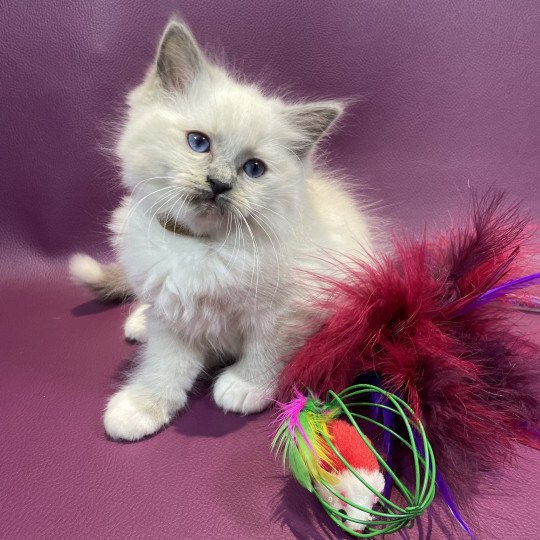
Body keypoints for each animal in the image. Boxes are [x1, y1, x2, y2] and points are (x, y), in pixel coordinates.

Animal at [70, 19, 376, 440]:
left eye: (254, 169)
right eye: (199, 143)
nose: (219, 184)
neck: (200, 247)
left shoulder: (288, 310)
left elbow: (266, 351)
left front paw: (244, 388)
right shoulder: (171, 311)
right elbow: (164, 367)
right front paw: (142, 405)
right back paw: (139, 323)